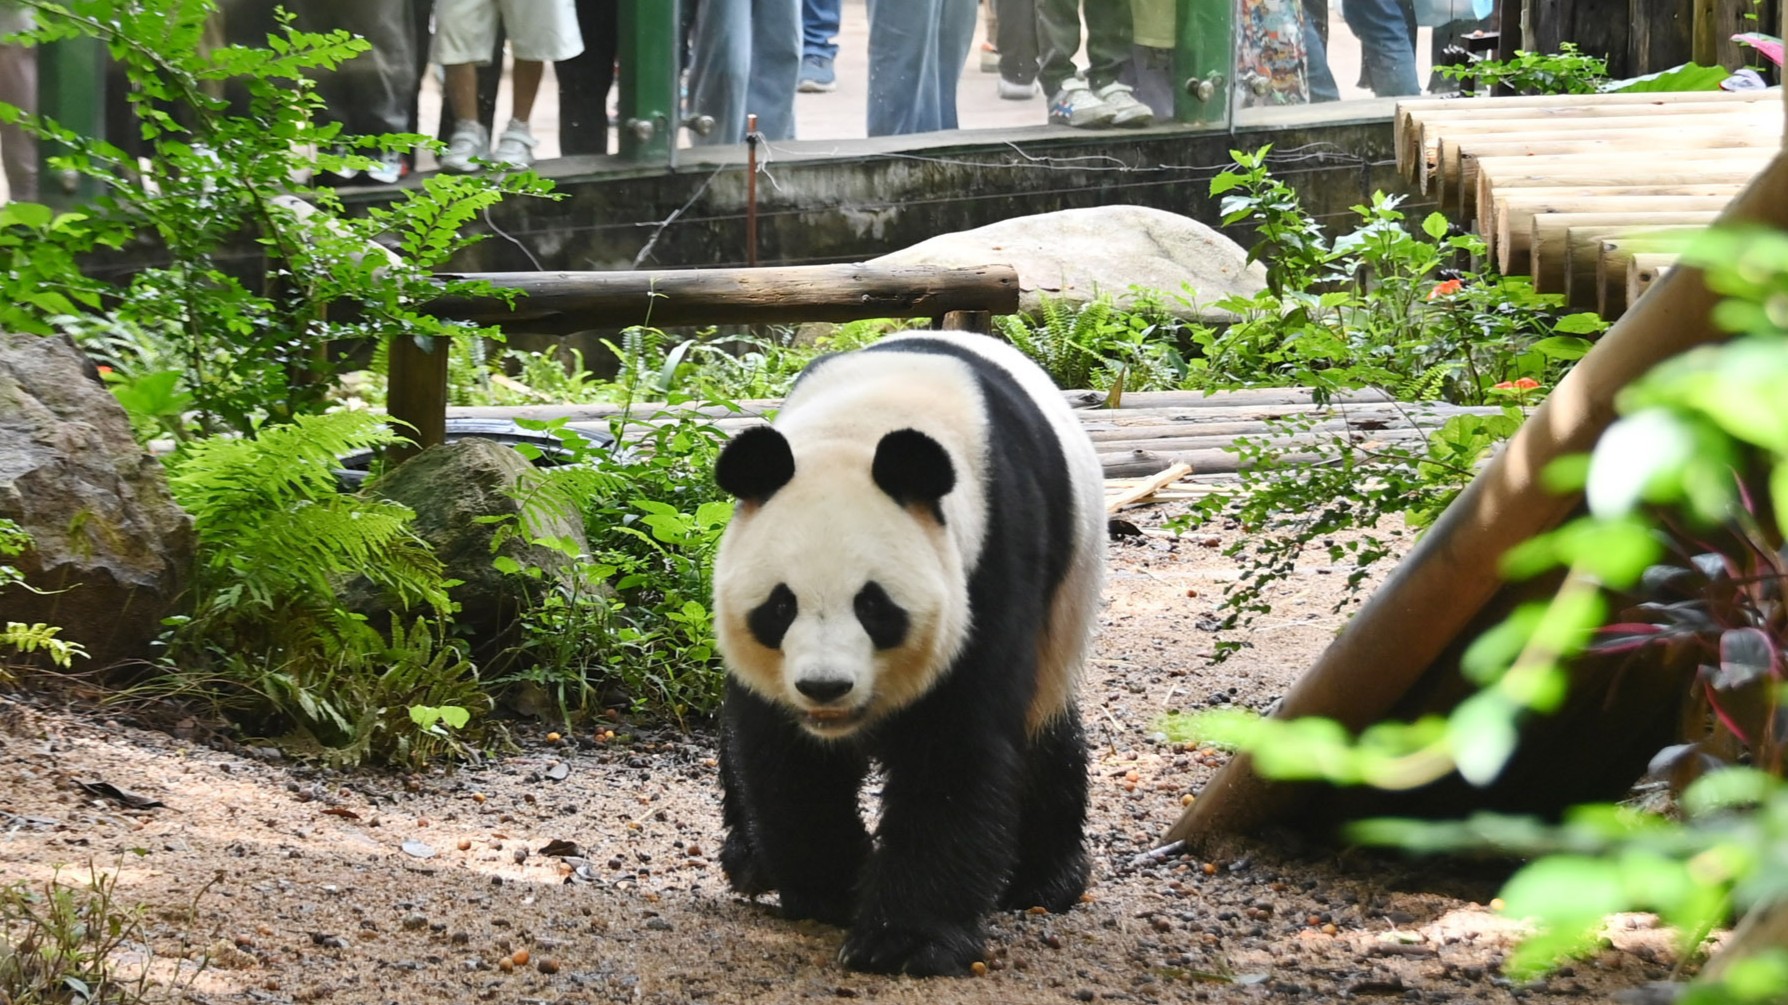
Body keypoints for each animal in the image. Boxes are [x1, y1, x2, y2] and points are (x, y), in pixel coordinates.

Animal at [708, 332, 1101, 972]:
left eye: (873, 606)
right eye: (781, 606)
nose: (825, 687)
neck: (862, 425)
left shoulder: (992, 562)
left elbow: (954, 749)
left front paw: (904, 940)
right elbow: (783, 755)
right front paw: (831, 890)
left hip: (1065, 608)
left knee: (1045, 732)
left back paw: (1046, 879)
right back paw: (750, 860)